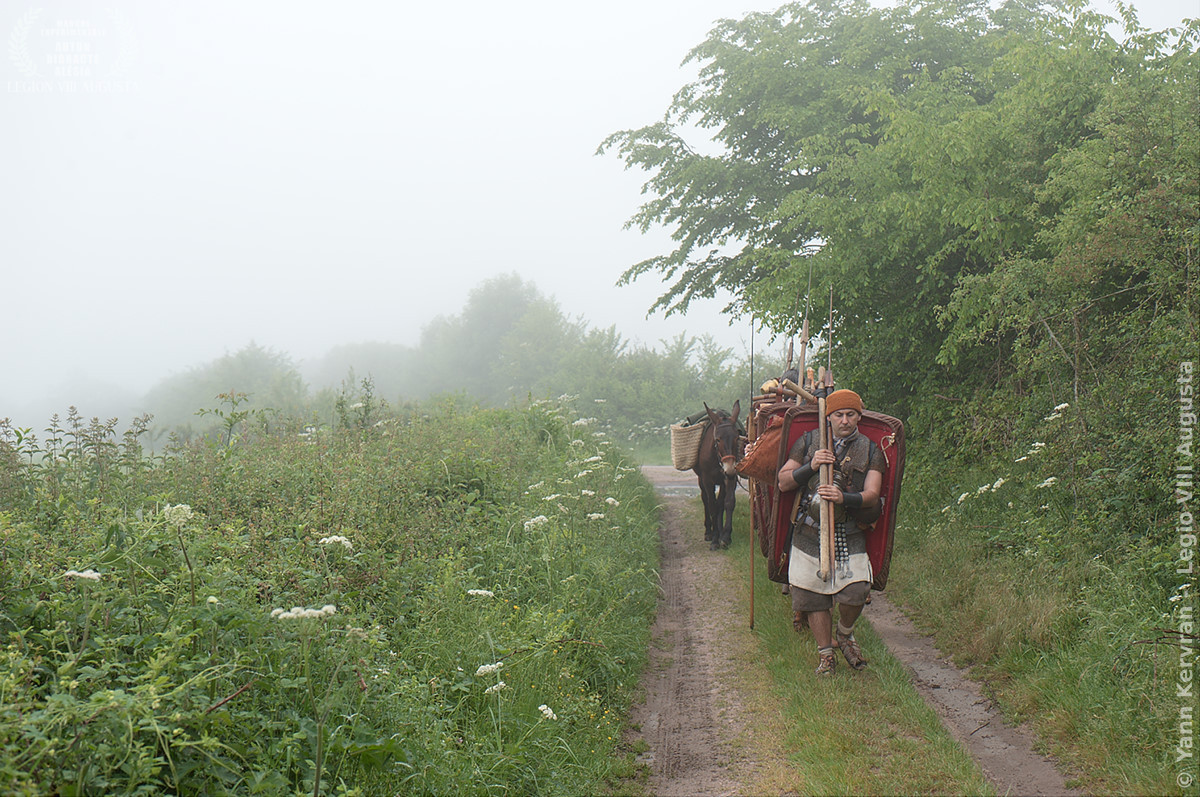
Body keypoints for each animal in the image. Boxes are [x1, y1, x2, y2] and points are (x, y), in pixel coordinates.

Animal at [693, 400, 743, 550]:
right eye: (718, 439)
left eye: (737, 437)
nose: (729, 468)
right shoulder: (708, 480)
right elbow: (712, 506)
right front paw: (715, 539)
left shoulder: (730, 478)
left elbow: (728, 503)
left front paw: (725, 536)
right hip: (701, 480)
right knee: (705, 500)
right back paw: (709, 532)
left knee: (720, 503)